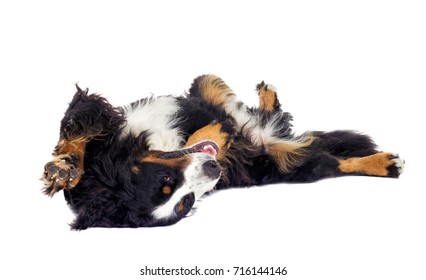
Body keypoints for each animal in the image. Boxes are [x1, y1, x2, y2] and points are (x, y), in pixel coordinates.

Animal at [41, 75, 404, 230]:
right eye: (183, 202)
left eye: (166, 179)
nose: (212, 171)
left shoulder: (99, 117)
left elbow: (75, 131)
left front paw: (63, 169)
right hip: (286, 164)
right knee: (332, 161)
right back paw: (386, 163)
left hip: (208, 90)